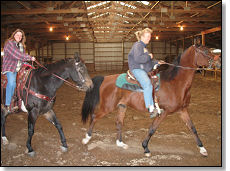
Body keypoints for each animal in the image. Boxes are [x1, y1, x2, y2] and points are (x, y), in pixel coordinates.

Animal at [81, 43, 219, 156]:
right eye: (205, 51)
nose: (219, 62)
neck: (175, 83)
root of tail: (105, 78)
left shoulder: (182, 110)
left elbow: (192, 128)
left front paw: (202, 148)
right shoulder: (164, 112)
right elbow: (153, 128)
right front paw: (145, 148)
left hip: (122, 106)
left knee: (119, 122)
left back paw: (120, 143)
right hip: (107, 107)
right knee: (94, 116)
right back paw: (86, 138)